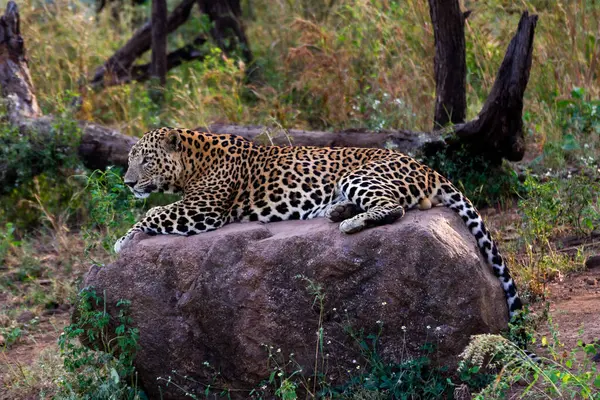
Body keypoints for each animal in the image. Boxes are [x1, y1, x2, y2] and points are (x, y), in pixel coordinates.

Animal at [115, 126, 524, 320]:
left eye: (145, 160)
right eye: (130, 159)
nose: (128, 182)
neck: (192, 162)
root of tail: (427, 167)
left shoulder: (203, 208)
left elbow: (151, 213)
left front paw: (123, 240)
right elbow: (151, 211)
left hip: (363, 176)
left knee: (394, 208)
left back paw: (350, 223)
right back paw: (337, 212)